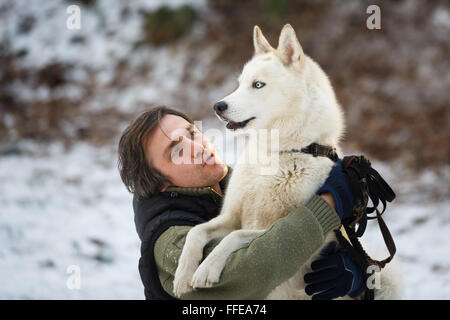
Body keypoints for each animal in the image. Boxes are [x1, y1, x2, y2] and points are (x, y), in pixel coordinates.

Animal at [173, 24, 400, 300]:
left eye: (258, 84)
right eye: (239, 84)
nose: (218, 106)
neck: (279, 153)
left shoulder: (290, 234)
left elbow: (234, 237)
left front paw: (207, 268)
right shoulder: (230, 217)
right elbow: (196, 231)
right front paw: (183, 274)